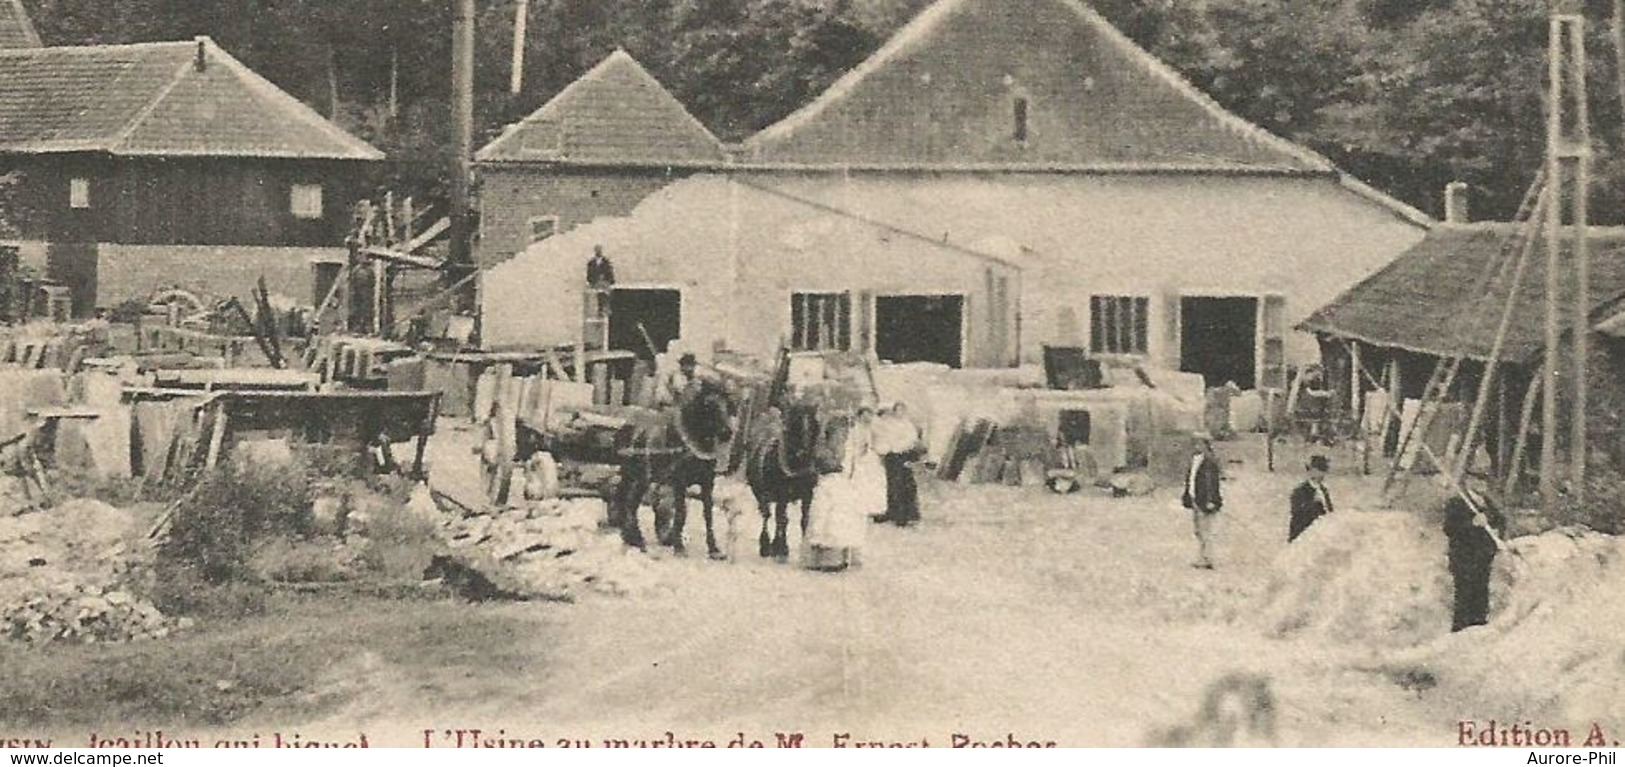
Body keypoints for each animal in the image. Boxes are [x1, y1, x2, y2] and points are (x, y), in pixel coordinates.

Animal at [611, 380, 737, 559]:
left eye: (728, 404)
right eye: (708, 405)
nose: (727, 432)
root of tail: (627, 425)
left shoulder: (707, 482)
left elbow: (708, 515)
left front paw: (714, 549)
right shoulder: (679, 481)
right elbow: (681, 512)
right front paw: (679, 546)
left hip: (633, 476)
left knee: (623, 498)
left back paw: (629, 536)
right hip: (641, 477)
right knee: (630, 504)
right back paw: (638, 541)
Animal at [747, 404, 825, 559]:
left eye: (815, 424)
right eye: (795, 424)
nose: (803, 452)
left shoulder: (808, 494)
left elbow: (804, 520)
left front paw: (803, 548)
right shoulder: (782, 493)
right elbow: (782, 519)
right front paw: (781, 548)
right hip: (759, 492)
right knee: (767, 515)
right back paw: (766, 545)